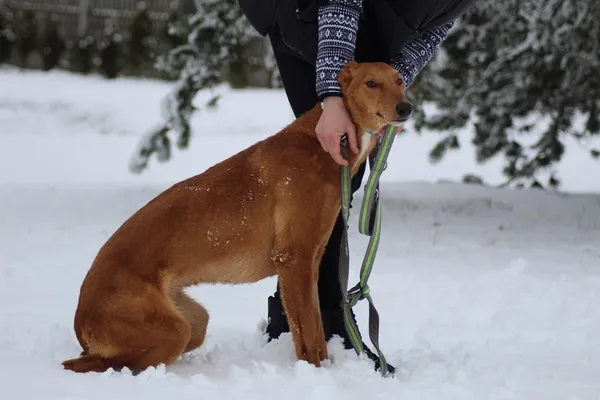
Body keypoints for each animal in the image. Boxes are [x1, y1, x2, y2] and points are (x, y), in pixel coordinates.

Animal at [61, 61, 410, 374]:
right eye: (371, 83)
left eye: (400, 80)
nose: (406, 108)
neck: (321, 147)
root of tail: (81, 322)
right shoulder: (293, 260)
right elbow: (309, 337)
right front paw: (316, 375)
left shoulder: (309, 262)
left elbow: (317, 331)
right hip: (170, 329)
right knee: (102, 363)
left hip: (193, 319)